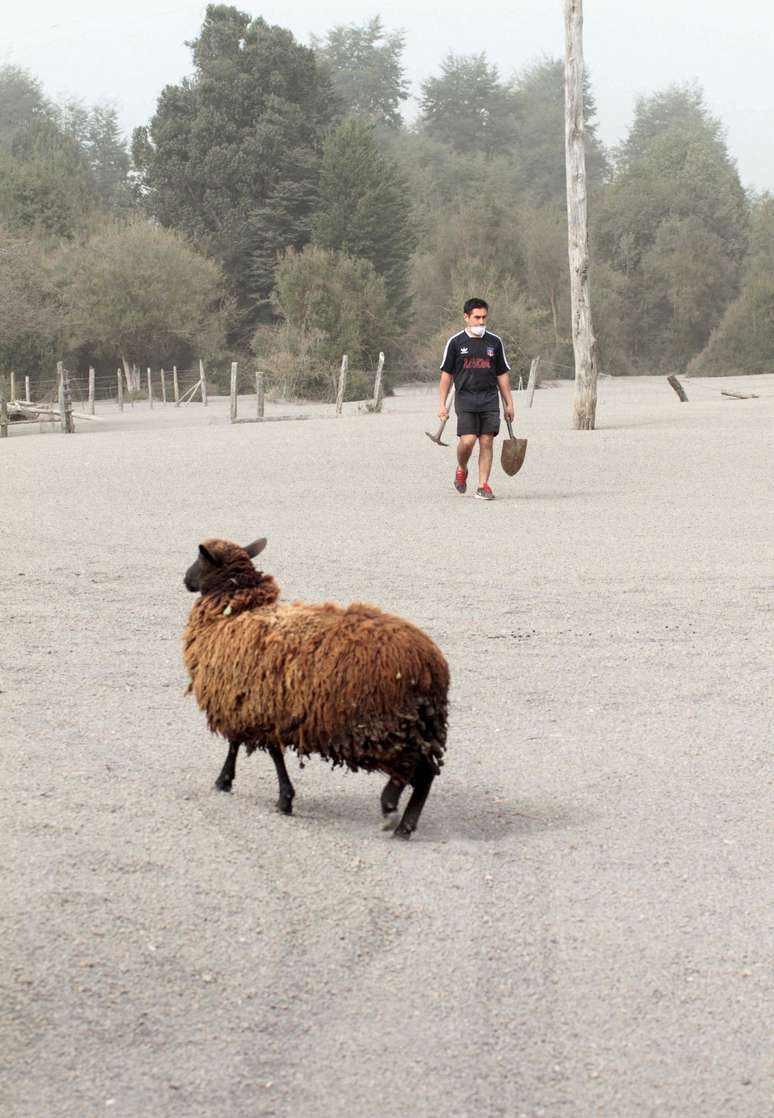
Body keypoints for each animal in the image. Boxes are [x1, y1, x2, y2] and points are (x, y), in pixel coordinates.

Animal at [182, 534, 447, 840]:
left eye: (200, 560)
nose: (185, 580)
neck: (236, 610)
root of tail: (431, 665)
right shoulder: (256, 706)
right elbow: (257, 748)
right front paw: (276, 795)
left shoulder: (247, 702)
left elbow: (251, 748)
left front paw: (236, 785)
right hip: (419, 726)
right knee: (426, 774)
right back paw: (405, 826)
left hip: (385, 727)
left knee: (409, 770)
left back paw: (390, 808)